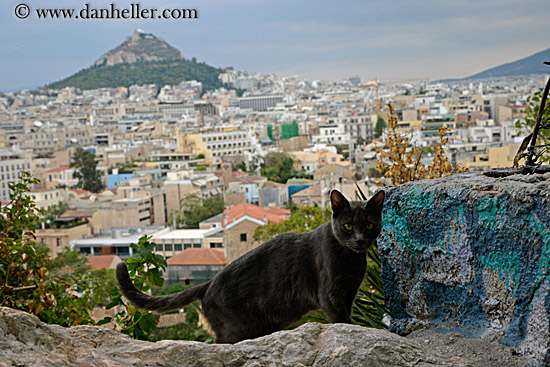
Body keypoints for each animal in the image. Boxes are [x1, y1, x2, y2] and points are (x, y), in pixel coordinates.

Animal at [115, 190, 384, 344]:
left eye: (369, 225)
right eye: (348, 226)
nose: (360, 240)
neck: (351, 259)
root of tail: (208, 284)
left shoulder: (349, 294)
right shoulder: (331, 297)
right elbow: (343, 321)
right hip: (235, 330)